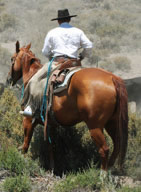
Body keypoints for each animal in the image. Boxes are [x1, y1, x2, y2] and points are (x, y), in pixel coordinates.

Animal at [6, 41, 128, 171]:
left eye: (12, 58)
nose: (8, 79)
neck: (32, 74)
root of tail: (112, 78)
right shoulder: (50, 125)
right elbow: (50, 148)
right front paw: (52, 169)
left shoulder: (28, 119)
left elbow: (25, 144)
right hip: (112, 123)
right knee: (117, 145)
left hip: (95, 126)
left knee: (104, 149)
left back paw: (102, 173)